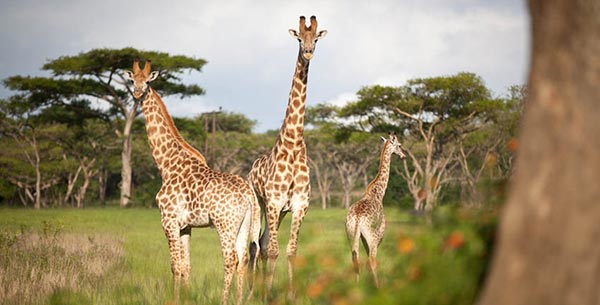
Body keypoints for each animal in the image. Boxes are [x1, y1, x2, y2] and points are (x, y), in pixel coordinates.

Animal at [124, 59, 260, 304]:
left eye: (147, 82)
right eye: (132, 81)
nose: (138, 94)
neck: (166, 163)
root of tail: (248, 194)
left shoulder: (168, 221)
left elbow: (175, 266)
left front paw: (175, 299)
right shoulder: (186, 226)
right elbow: (186, 266)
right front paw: (186, 298)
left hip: (224, 224)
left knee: (230, 259)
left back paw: (224, 300)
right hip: (245, 224)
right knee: (244, 258)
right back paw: (238, 300)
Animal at [245, 14, 326, 296]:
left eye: (316, 39)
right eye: (299, 39)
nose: (309, 52)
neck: (292, 147)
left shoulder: (300, 206)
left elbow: (290, 251)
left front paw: (290, 294)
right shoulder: (273, 202)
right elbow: (273, 251)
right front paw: (269, 294)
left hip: (278, 212)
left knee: (261, 243)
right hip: (259, 204)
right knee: (255, 245)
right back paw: (252, 291)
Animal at [342, 132, 408, 286]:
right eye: (399, 145)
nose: (404, 155)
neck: (378, 193)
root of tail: (357, 218)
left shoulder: (362, 237)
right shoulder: (380, 233)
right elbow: (371, 260)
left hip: (351, 234)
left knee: (355, 259)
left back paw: (357, 286)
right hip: (372, 236)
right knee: (372, 260)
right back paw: (378, 286)